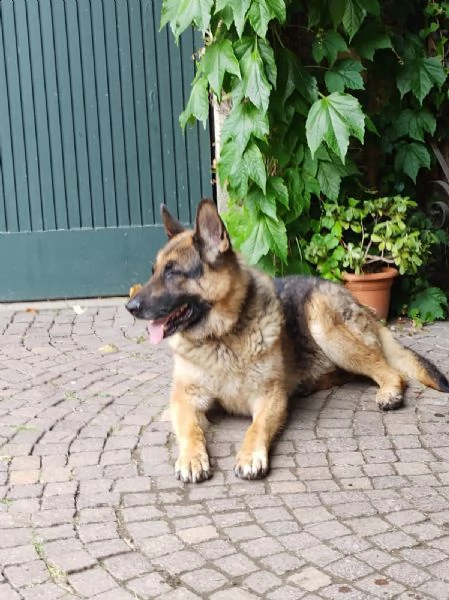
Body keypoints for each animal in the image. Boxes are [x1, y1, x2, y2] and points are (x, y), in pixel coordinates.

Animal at [127, 200, 448, 482]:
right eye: (154, 272)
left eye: (173, 272)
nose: (130, 307)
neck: (222, 337)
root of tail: (353, 299)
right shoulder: (184, 398)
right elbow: (190, 428)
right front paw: (192, 458)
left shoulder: (268, 398)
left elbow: (255, 428)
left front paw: (250, 456)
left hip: (323, 326)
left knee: (389, 371)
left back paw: (388, 392)